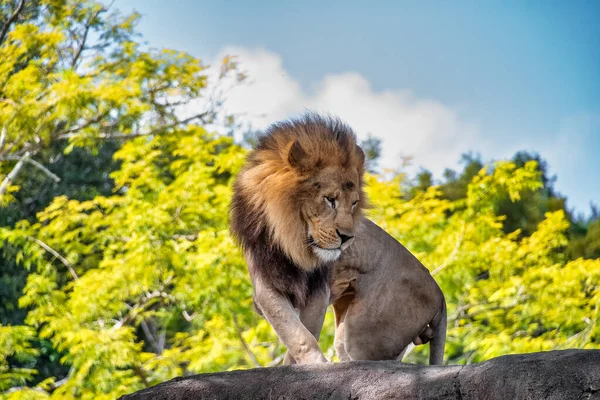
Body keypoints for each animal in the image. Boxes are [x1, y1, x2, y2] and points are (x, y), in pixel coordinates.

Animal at [230, 113, 446, 366]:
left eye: (353, 203)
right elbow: (294, 332)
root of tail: (439, 292)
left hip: (362, 333)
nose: (348, 238)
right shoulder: (266, 283)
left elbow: (304, 335)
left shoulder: (318, 290)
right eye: (329, 199)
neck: (290, 239)